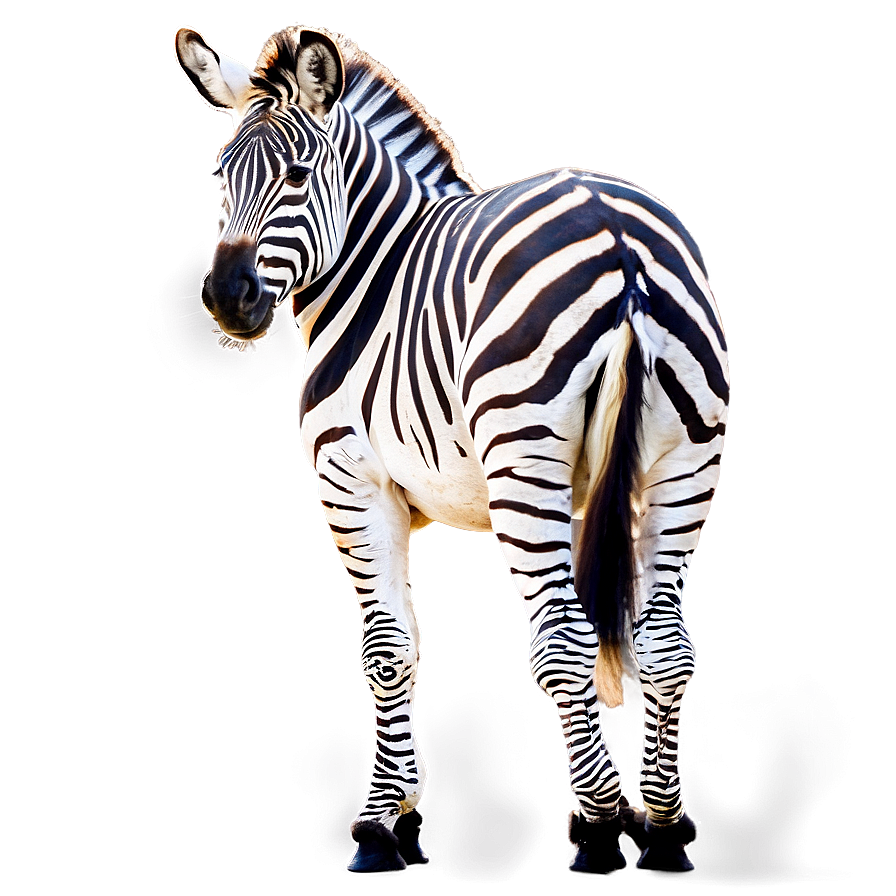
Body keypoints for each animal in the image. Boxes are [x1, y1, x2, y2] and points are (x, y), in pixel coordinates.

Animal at [174, 23, 729, 876]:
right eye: (222, 176)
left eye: (297, 174)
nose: (223, 299)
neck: (370, 269)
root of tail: (617, 234)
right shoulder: (412, 498)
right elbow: (413, 638)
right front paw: (406, 803)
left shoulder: (349, 477)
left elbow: (385, 648)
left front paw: (378, 825)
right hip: (682, 465)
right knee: (667, 642)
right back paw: (664, 831)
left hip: (523, 465)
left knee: (564, 640)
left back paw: (600, 825)